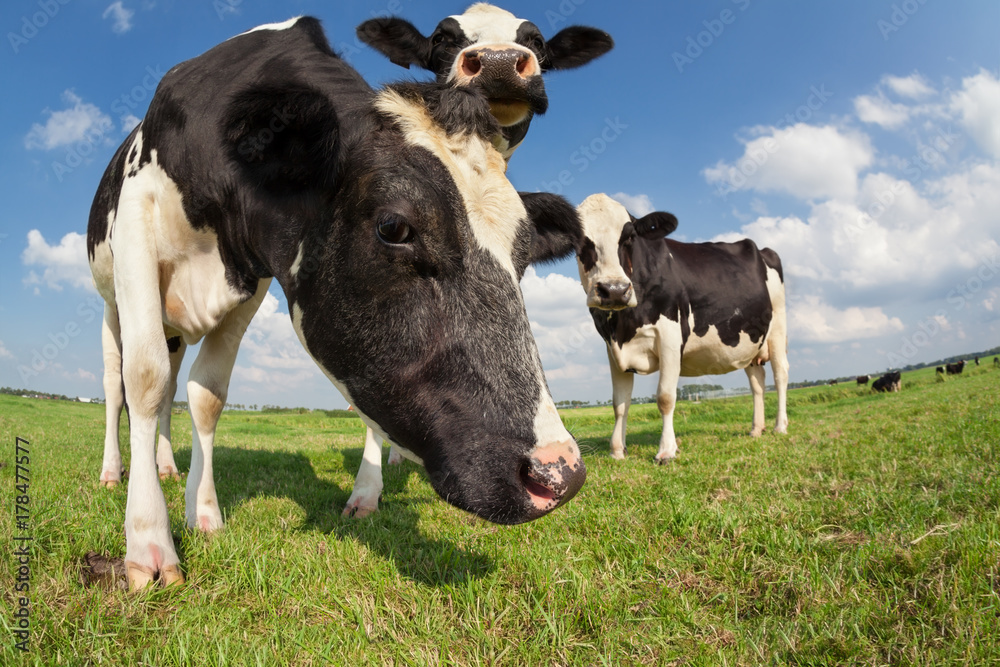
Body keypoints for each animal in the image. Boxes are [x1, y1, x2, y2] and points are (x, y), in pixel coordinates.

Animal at [88, 15, 584, 588]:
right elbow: (143, 380)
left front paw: (204, 513)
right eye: (394, 227)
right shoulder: (136, 223)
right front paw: (148, 543)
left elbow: (206, 395)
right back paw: (112, 471)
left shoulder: (253, 281)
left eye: (524, 253)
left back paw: (167, 465)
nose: (558, 473)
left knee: (172, 388)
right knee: (119, 385)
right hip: (111, 305)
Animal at [576, 193, 784, 464]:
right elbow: (619, 403)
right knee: (757, 380)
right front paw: (617, 450)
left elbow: (665, 397)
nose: (614, 290)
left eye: (630, 236)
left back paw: (780, 426)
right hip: (749, 341)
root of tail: (761, 249)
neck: (623, 324)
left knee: (781, 374)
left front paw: (666, 450)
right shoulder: (613, 348)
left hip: (778, 327)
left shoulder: (670, 337)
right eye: (578, 240)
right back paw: (756, 429)